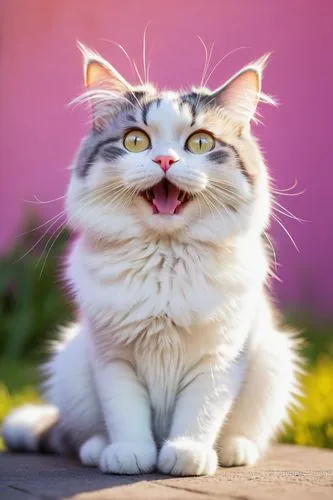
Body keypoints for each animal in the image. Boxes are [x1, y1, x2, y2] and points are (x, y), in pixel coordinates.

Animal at [1, 44, 298, 476]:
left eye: (200, 143)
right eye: (137, 142)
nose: (165, 162)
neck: (165, 259)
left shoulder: (219, 358)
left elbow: (201, 412)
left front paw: (187, 454)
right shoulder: (114, 359)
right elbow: (125, 413)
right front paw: (130, 455)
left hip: (274, 362)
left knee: (244, 432)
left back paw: (233, 450)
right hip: (72, 363)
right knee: (80, 435)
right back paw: (98, 449)